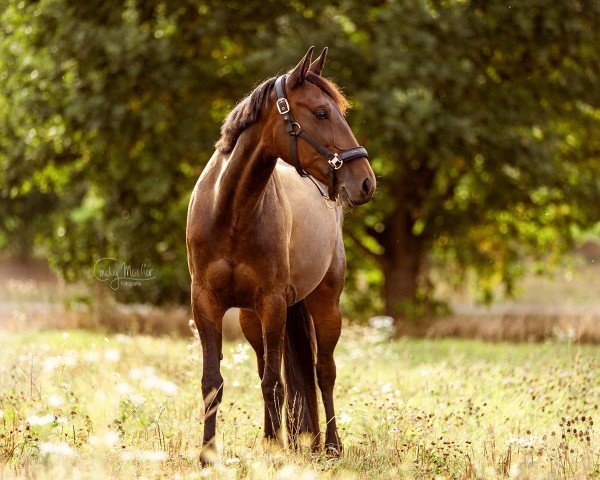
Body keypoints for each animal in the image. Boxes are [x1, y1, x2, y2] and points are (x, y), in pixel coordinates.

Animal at [186, 47, 376, 464]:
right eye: (321, 113)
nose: (366, 181)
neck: (232, 211)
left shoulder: (272, 303)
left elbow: (276, 382)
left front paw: (273, 450)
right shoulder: (205, 303)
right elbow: (214, 382)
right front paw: (208, 454)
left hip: (325, 307)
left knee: (324, 373)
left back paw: (330, 446)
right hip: (250, 320)